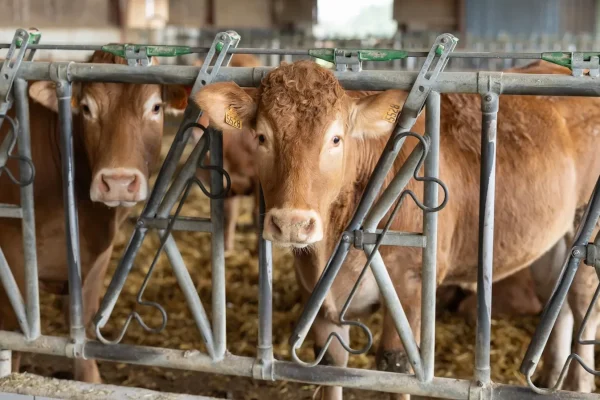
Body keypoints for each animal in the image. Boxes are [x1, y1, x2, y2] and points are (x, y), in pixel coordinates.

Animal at [0, 51, 188, 382]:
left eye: (155, 107)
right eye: (86, 108)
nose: (118, 181)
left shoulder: (97, 257)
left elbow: (82, 324)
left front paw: (90, 379)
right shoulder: (12, 256)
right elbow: (18, 334)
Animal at [195, 60, 600, 400]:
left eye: (336, 138)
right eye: (262, 137)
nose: (292, 223)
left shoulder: (410, 286)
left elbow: (396, 369)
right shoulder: (318, 296)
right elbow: (330, 367)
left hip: (587, 236)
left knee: (583, 308)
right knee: (557, 299)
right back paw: (548, 379)